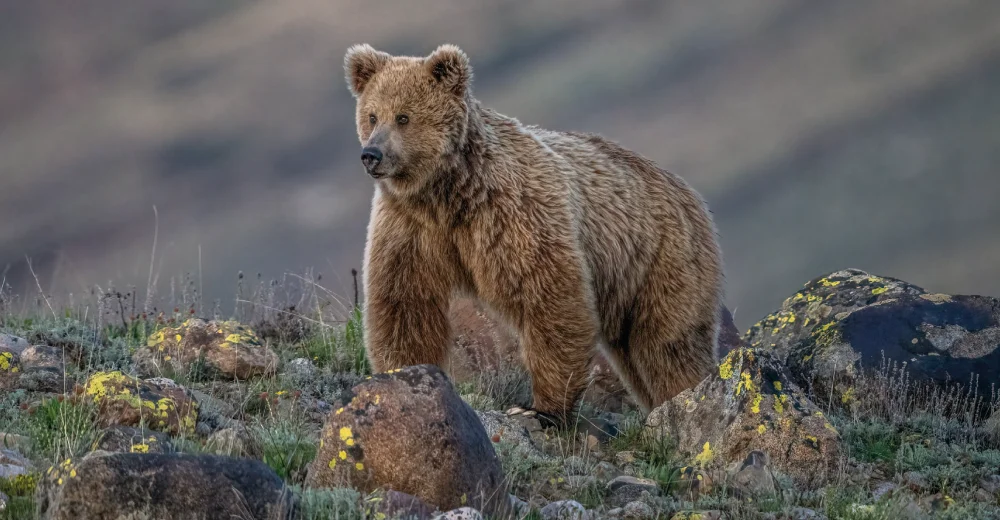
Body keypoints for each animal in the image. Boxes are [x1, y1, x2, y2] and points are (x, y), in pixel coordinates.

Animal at [348, 42, 724, 426]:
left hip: (660, 259)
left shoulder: (514, 214)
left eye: (403, 117)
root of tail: (688, 191)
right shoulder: (412, 227)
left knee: (667, 345)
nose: (371, 154)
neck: (450, 191)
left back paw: (683, 397)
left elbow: (549, 297)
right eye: (372, 116)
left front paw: (540, 407)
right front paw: (401, 375)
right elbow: (404, 302)